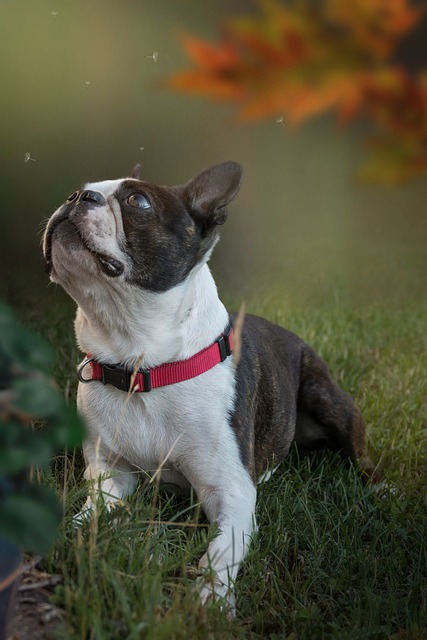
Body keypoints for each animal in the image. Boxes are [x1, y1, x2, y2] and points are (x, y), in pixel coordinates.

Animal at [43, 162, 378, 612]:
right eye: (80, 191)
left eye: (138, 201)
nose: (76, 197)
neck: (141, 367)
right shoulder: (110, 473)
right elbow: (91, 511)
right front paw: (67, 530)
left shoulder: (231, 491)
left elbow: (221, 550)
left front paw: (210, 598)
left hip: (326, 397)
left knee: (360, 456)